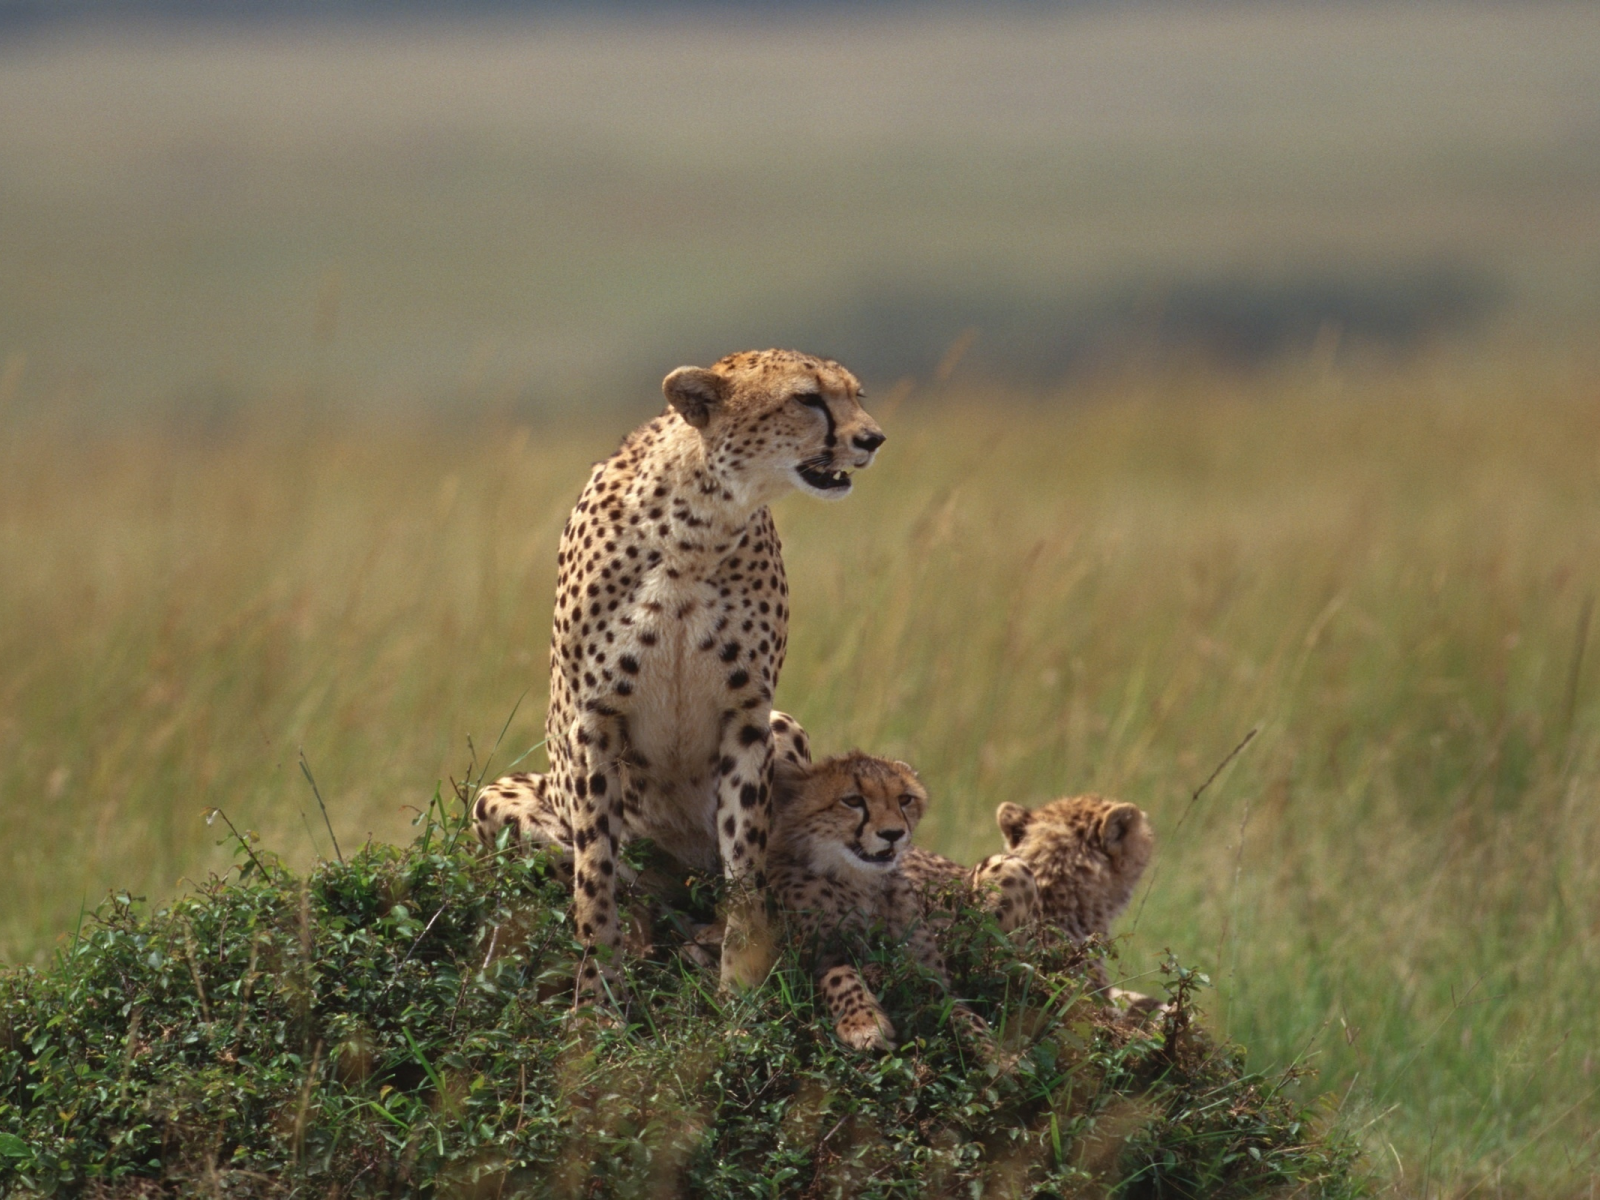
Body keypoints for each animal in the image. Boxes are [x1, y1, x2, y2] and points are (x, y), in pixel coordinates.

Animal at [473, 352, 883, 1011]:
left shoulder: (748, 715)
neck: (698, 529)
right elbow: (596, 873)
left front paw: (740, 985)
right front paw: (599, 1001)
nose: (873, 439)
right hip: (500, 799)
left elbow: (745, 860)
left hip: (785, 728)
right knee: (630, 887)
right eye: (807, 399)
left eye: (855, 396)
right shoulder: (595, 720)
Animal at [768, 755, 979, 1056]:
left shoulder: (936, 983)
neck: (861, 883)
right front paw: (865, 1025)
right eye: (853, 801)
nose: (893, 833)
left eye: (904, 799)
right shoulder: (811, 959)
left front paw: (1002, 1057)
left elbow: (969, 1019)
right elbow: (841, 975)